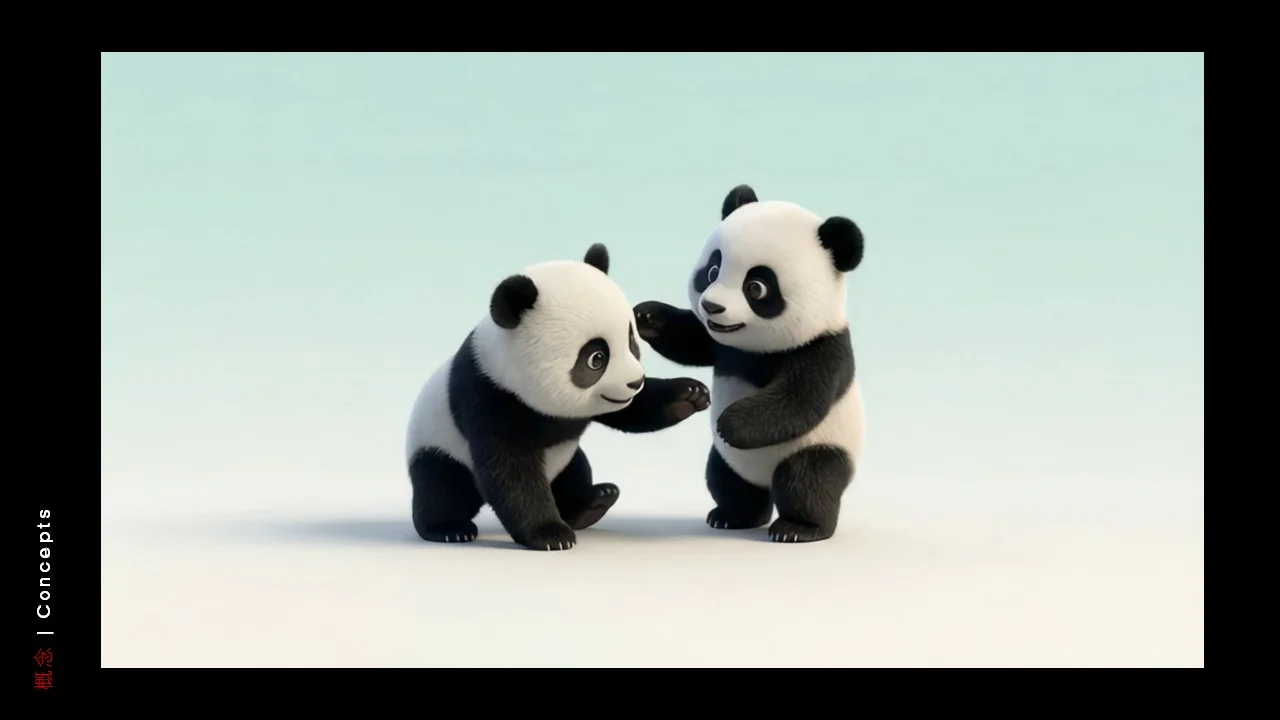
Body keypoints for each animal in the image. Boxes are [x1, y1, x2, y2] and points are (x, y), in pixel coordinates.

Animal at [405, 243, 712, 551]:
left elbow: (631, 412)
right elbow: (510, 469)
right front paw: (550, 535)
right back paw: (449, 528)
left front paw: (690, 394)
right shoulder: (489, 398)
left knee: (576, 472)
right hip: (439, 448)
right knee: (443, 487)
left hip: (565, 459)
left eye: (630, 341)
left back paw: (591, 503)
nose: (634, 382)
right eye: (596, 358)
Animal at [633, 184, 866, 543]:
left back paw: (799, 528)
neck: (760, 349)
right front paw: (649, 316)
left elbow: (799, 401)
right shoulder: (722, 344)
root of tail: (764, 480)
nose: (712, 307)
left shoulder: (822, 349)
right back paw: (734, 515)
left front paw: (732, 424)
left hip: (824, 446)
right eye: (712, 271)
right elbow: (691, 341)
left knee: (807, 480)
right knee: (726, 480)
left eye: (757, 287)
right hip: (730, 462)